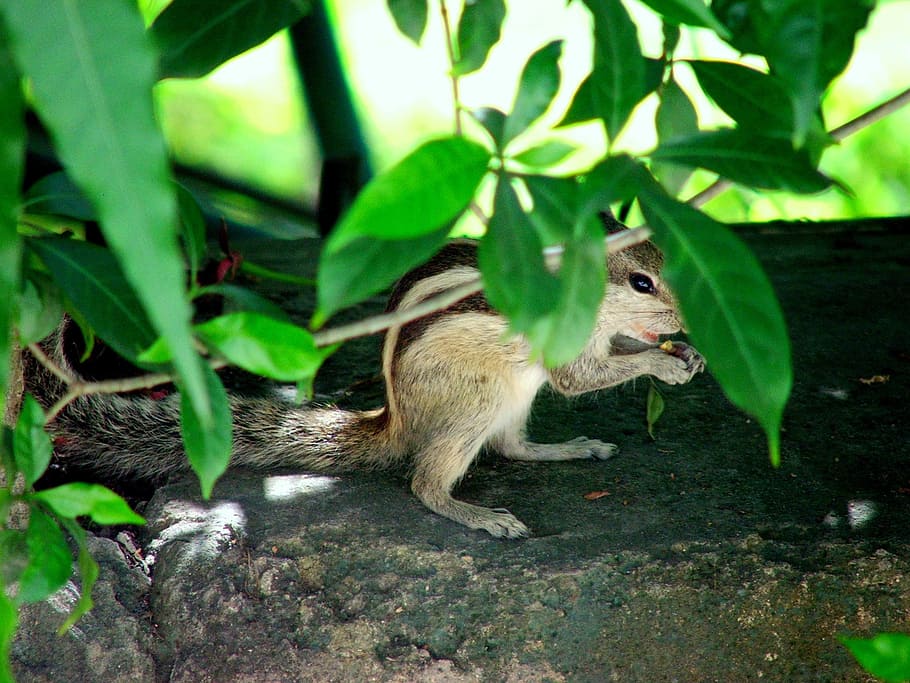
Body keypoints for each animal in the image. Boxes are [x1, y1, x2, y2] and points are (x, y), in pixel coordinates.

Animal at [30, 233, 704, 539]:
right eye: (642, 282)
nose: (684, 320)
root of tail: (396, 418)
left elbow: (613, 356)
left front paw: (682, 354)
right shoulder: (565, 349)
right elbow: (583, 377)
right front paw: (665, 364)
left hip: (510, 397)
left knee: (512, 446)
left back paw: (570, 448)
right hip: (477, 396)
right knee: (425, 482)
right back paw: (477, 515)